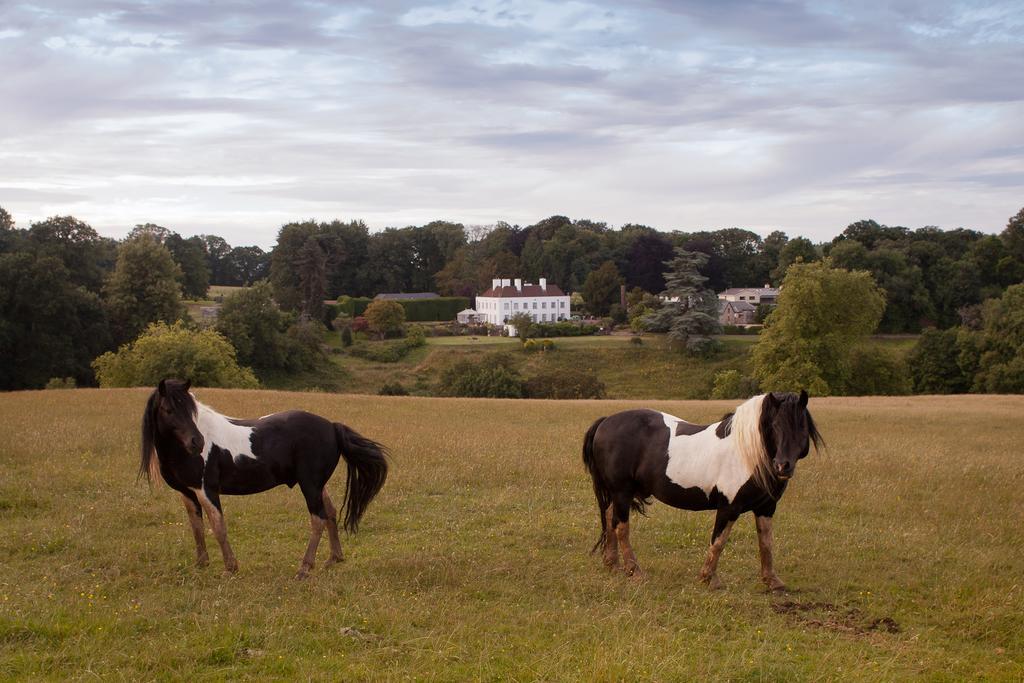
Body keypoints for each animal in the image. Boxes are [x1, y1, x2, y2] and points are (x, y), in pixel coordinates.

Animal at [140, 378, 387, 577]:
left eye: (191, 411)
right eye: (168, 409)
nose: (197, 442)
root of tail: (332, 427)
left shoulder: (206, 490)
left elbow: (218, 527)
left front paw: (230, 568)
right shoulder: (188, 492)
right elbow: (197, 527)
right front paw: (201, 564)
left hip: (309, 484)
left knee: (318, 519)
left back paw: (304, 568)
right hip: (317, 485)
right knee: (331, 513)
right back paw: (333, 559)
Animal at [585, 393, 823, 589]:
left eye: (802, 426)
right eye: (774, 425)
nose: (783, 466)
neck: (746, 453)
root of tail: (605, 421)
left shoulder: (766, 508)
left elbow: (766, 543)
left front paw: (772, 581)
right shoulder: (729, 508)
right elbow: (718, 541)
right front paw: (709, 579)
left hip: (618, 495)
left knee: (611, 520)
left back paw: (613, 564)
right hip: (622, 492)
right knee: (621, 527)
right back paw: (635, 571)